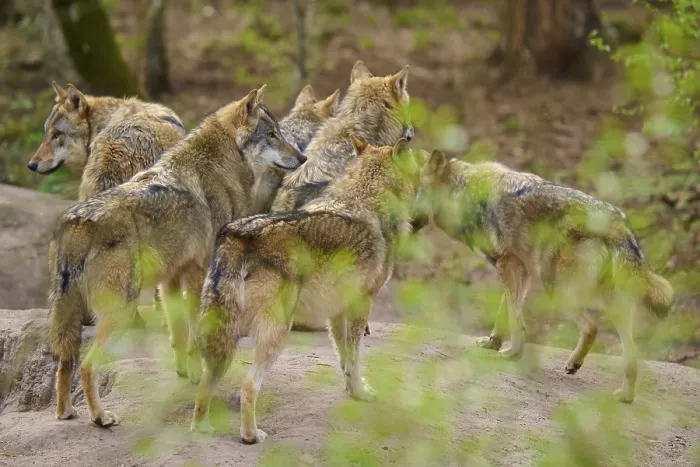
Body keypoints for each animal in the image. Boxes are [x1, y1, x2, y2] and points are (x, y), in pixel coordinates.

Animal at [47, 86, 306, 428]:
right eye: (272, 135)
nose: (303, 157)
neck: (219, 168)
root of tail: (80, 220)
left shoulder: (171, 278)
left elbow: (179, 330)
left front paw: (184, 370)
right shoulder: (199, 271)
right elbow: (196, 331)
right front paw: (198, 374)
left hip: (72, 316)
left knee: (65, 363)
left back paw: (65, 412)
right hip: (119, 312)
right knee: (88, 365)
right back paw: (101, 417)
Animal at [190, 137, 422, 444]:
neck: (368, 199)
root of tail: (238, 233)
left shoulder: (336, 313)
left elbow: (344, 359)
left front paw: (353, 392)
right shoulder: (361, 305)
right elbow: (355, 357)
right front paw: (362, 393)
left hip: (223, 339)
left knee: (206, 385)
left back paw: (201, 428)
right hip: (276, 335)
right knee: (248, 387)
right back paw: (251, 435)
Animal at [417, 150, 674, 403]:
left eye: (414, 192)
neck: (460, 188)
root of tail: (617, 226)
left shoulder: (507, 264)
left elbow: (515, 319)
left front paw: (512, 353)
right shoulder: (520, 270)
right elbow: (505, 313)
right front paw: (493, 343)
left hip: (557, 290)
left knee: (592, 327)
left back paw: (575, 364)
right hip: (613, 307)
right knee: (632, 354)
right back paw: (624, 396)